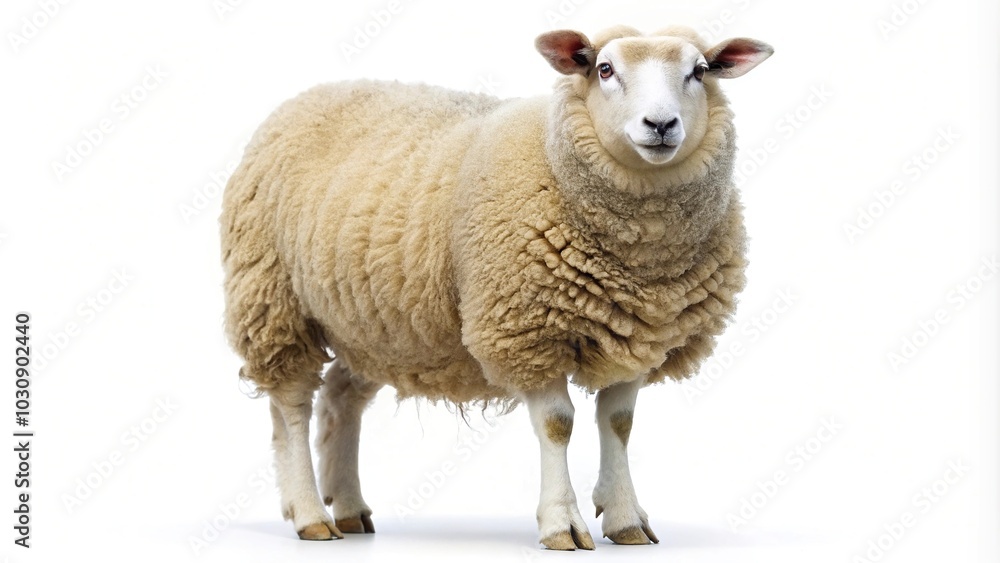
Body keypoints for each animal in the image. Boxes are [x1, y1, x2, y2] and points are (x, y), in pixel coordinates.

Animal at [220, 24, 772, 550]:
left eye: (699, 71)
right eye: (605, 69)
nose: (660, 125)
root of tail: (306, 95)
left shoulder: (640, 332)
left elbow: (619, 424)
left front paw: (625, 519)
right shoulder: (527, 329)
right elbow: (557, 424)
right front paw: (562, 524)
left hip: (376, 324)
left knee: (340, 399)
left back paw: (351, 508)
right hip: (273, 299)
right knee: (292, 405)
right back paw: (310, 514)